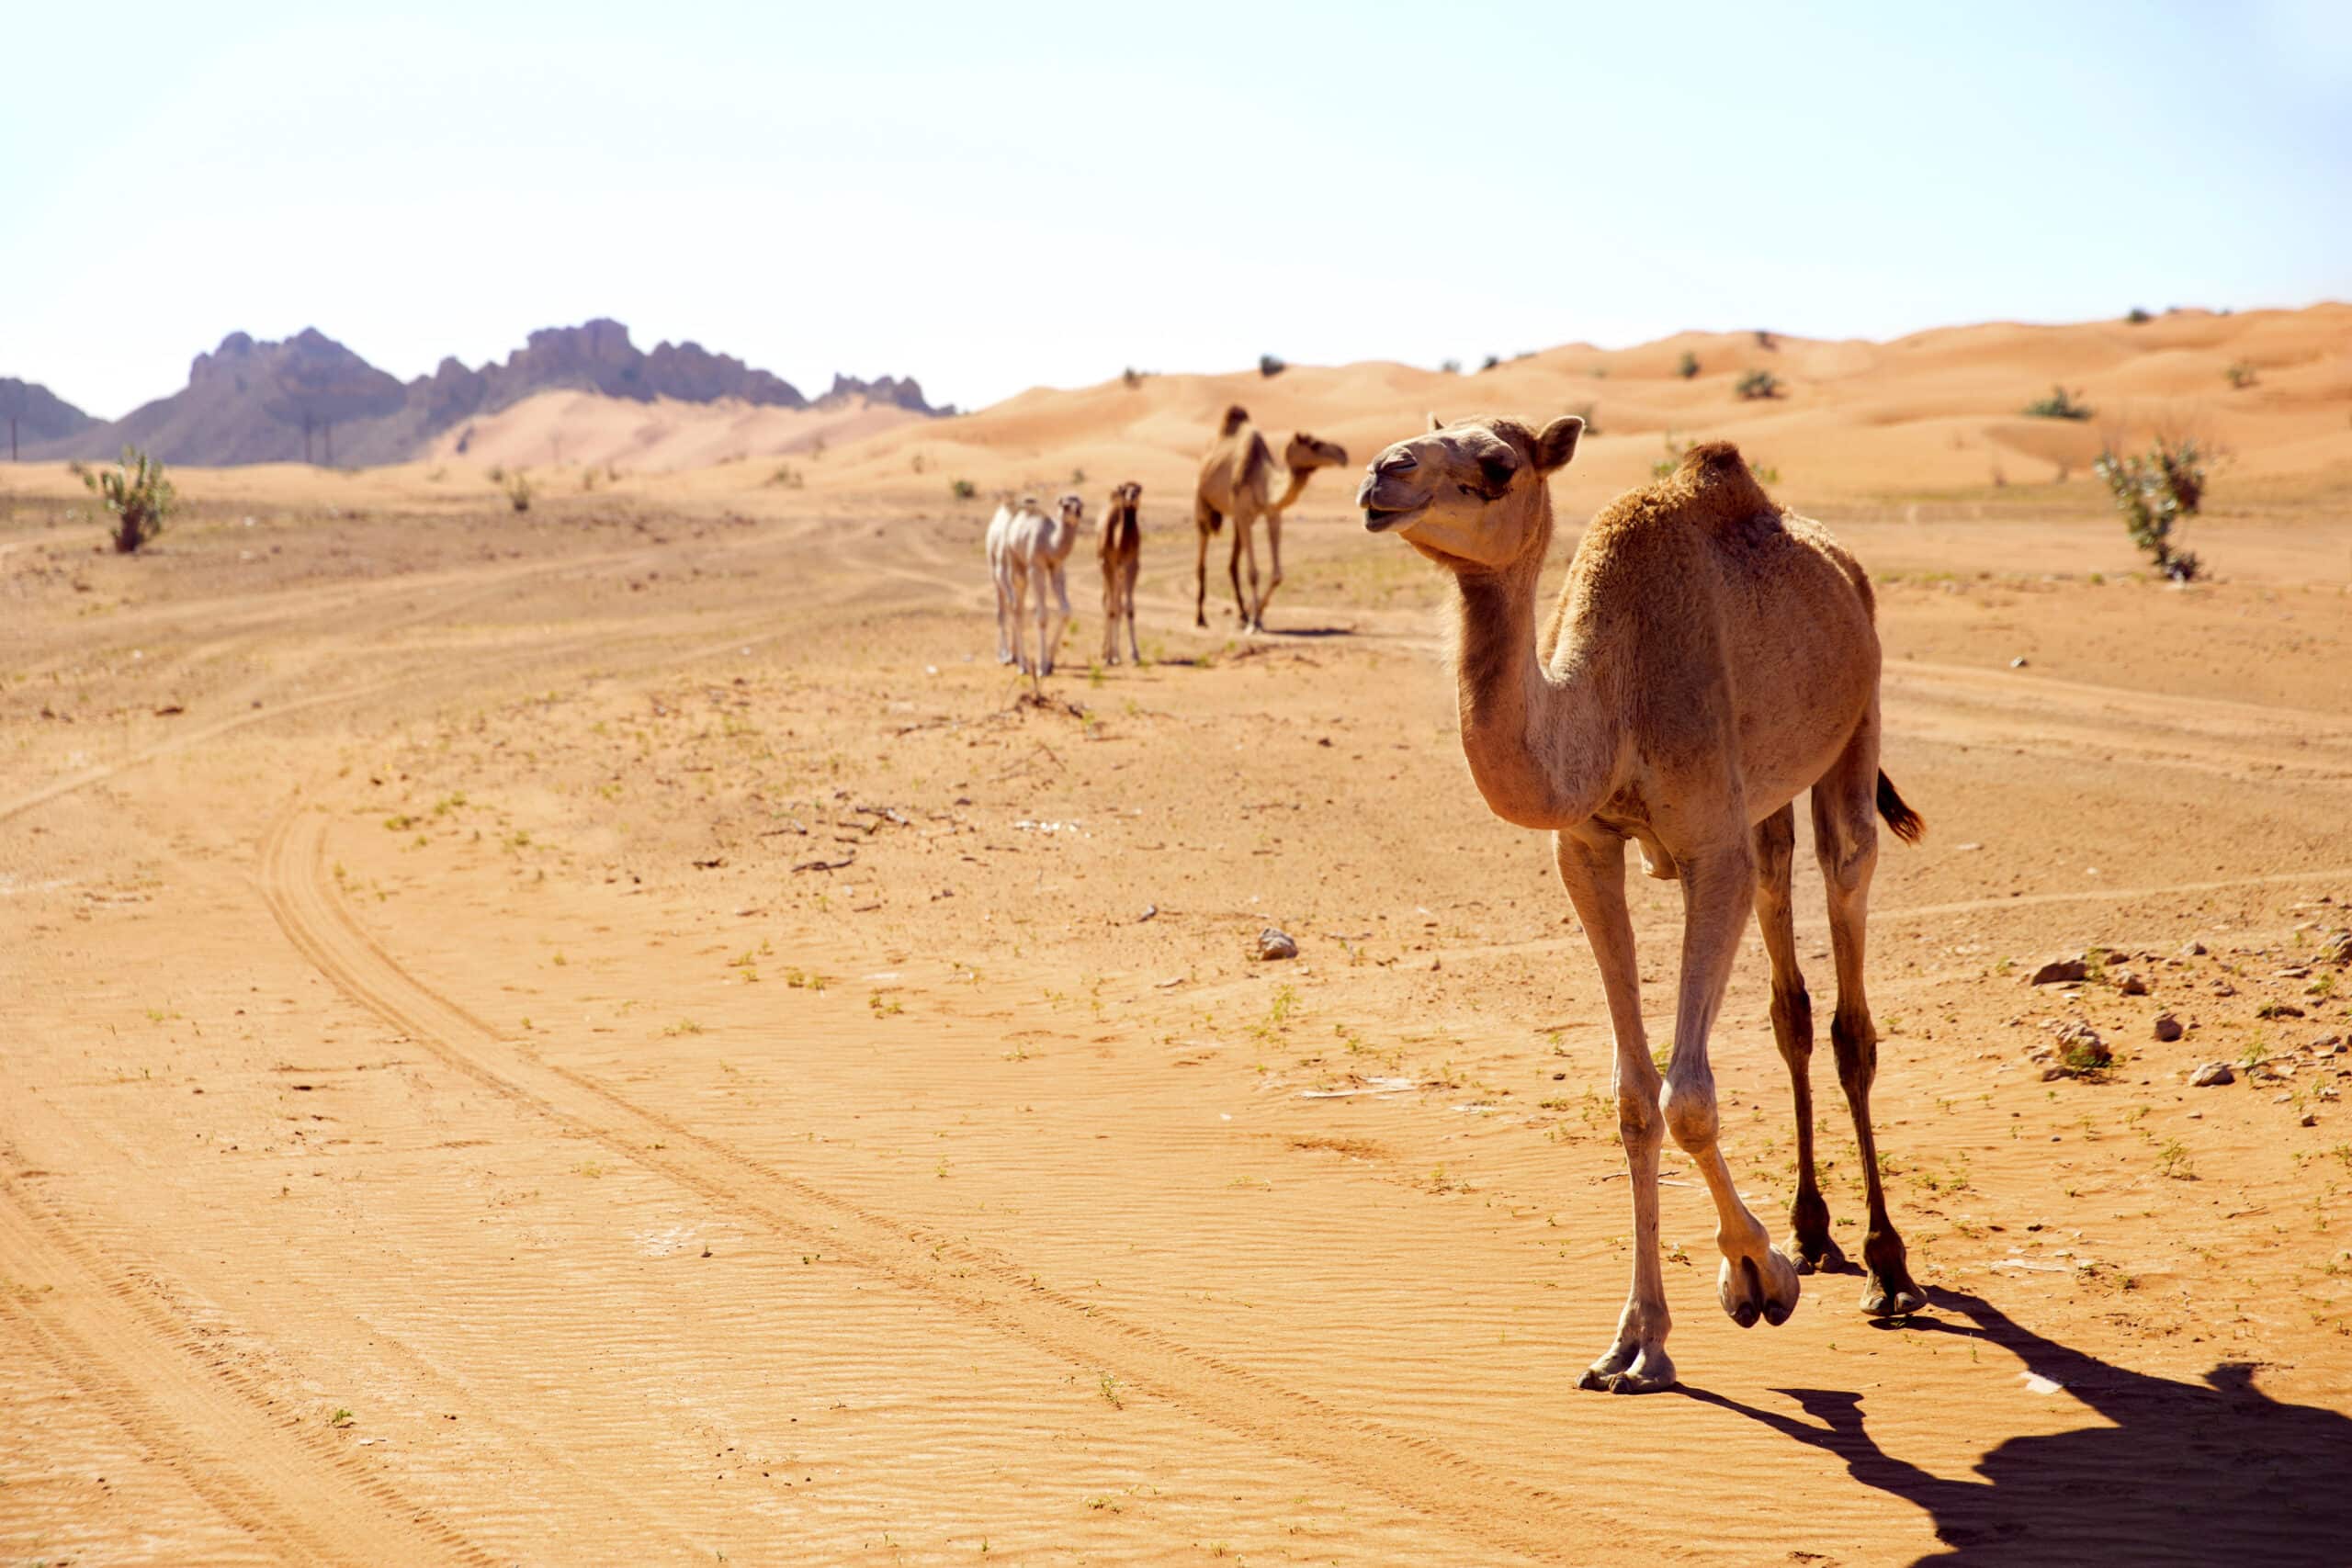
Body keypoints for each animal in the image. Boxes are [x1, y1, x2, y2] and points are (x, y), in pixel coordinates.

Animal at [983, 493, 1081, 682]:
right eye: (1066, 505)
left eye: (1081, 504)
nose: (1078, 513)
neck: (1050, 543)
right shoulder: (1036, 567)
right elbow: (1041, 616)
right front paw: (1042, 667)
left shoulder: (1056, 567)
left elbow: (1066, 611)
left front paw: (1049, 664)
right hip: (1001, 566)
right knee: (1007, 608)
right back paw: (1011, 660)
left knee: (1016, 606)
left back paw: (1015, 657)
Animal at [1095, 484, 1143, 667]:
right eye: (1124, 490)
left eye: (1138, 489)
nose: (1132, 496)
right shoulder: (1106, 564)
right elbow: (1111, 607)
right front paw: (1108, 657)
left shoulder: (1133, 564)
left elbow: (1128, 608)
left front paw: (1135, 654)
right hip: (1108, 571)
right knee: (1108, 602)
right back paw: (1107, 654)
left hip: (1120, 574)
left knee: (1118, 604)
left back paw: (1116, 654)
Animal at [1185, 409, 1354, 634]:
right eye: (1313, 444)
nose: (1344, 454)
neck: (1261, 482)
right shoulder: (1243, 513)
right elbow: (1253, 572)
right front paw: (1254, 623)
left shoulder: (1272, 514)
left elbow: (1277, 574)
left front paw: (1255, 614)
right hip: (1202, 504)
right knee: (1202, 559)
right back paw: (1200, 618)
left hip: (1235, 519)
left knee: (1232, 563)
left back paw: (1241, 614)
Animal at [1363, 415, 1928, 1401]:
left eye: (1497, 465)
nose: (1379, 475)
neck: (1610, 703)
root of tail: (1842, 563)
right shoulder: (1585, 850)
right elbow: (1634, 1097)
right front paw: (1635, 1342)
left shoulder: (1709, 848)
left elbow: (1688, 1097)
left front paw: (1757, 1277)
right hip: (1766, 796)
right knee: (1787, 972)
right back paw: (1813, 1229)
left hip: (1857, 723)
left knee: (1847, 915)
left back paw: (1886, 1267)